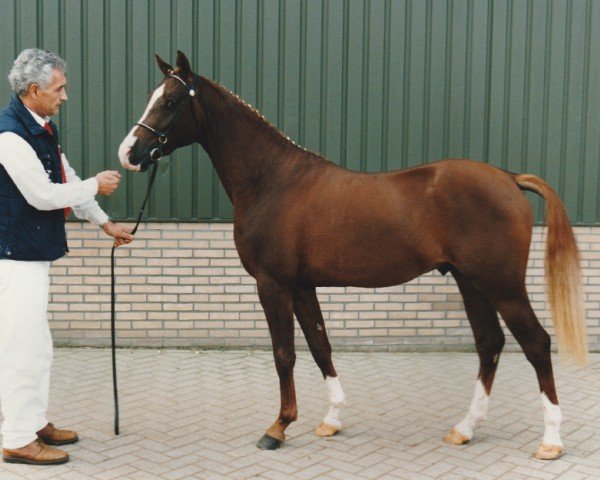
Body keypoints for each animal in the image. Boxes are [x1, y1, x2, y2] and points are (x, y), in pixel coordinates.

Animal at [118, 50, 584, 460]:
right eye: (152, 97)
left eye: (172, 101)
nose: (129, 153)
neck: (272, 181)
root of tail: (509, 178)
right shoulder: (302, 286)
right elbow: (320, 346)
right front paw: (331, 419)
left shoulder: (273, 285)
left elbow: (284, 354)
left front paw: (277, 428)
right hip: (470, 282)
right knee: (490, 344)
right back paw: (465, 428)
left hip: (501, 285)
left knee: (537, 344)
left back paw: (550, 441)